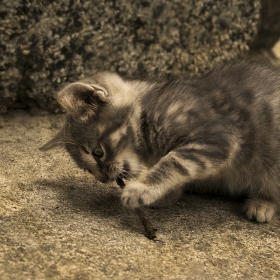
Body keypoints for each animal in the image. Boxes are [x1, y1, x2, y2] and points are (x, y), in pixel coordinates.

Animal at [42, 61, 280, 223]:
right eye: (87, 170)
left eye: (97, 152)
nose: (102, 178)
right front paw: (163, 195)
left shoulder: (218, 137)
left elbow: (175, 162)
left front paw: (142, 188)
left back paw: (261, 203)